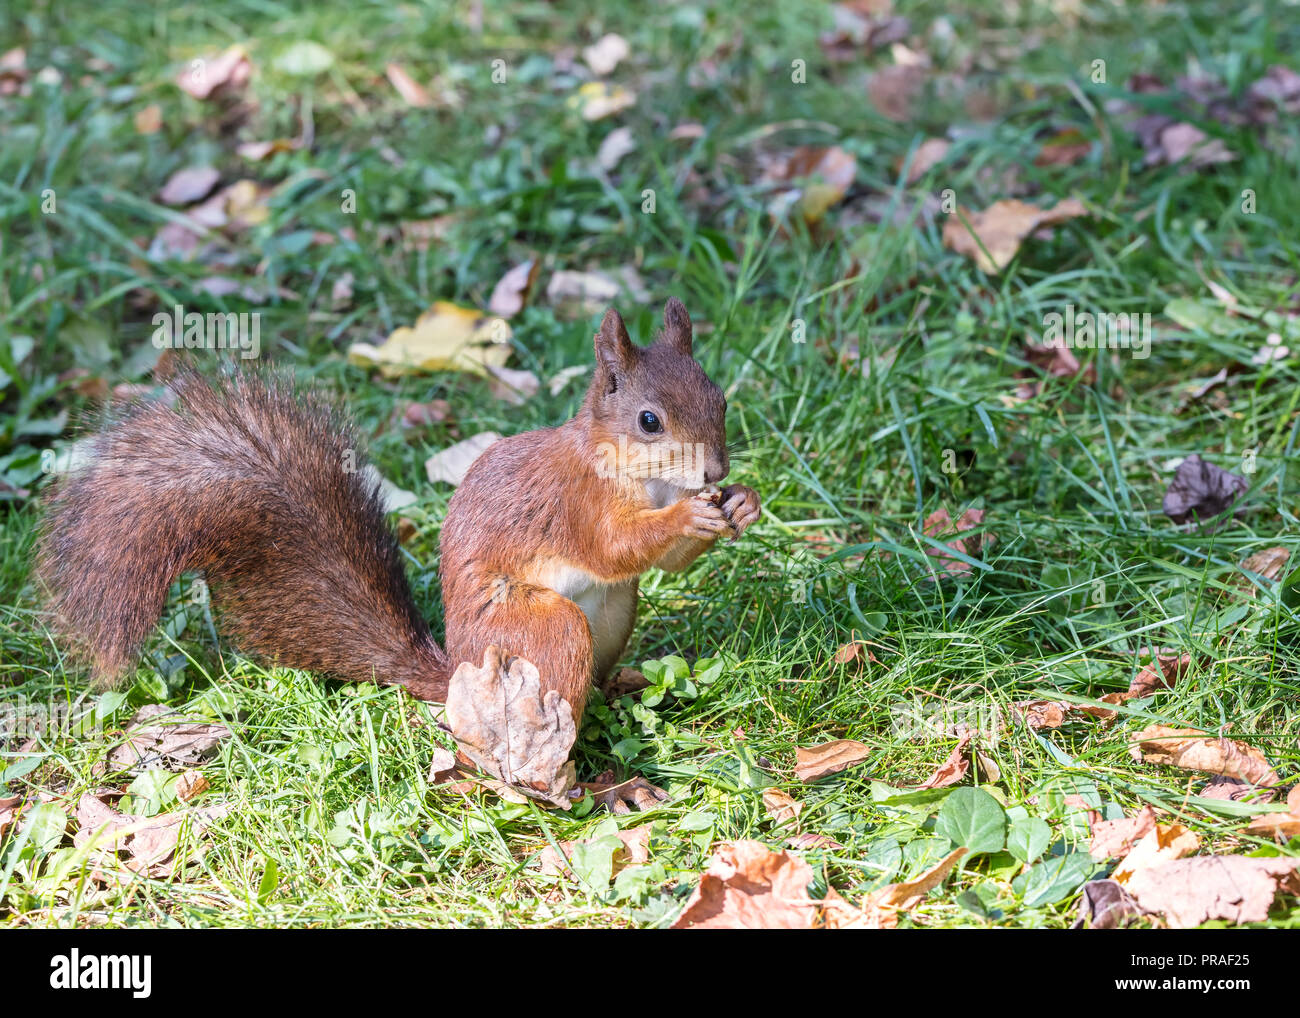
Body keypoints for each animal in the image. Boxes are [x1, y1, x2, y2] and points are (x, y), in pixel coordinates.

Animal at [37, 298, 761, 757]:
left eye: (720, 398)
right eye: (649, 420)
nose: (716, 470)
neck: (635, 475)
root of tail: (458, 673)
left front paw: (742, 503)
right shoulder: (571, 504)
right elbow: (613, 547)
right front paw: (691, 513)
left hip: (616, 612)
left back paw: (622, 686)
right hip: (536, 627)